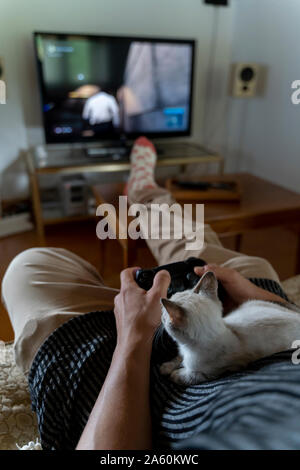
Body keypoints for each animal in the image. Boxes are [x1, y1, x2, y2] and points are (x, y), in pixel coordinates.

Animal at [159, 272, 300, 386]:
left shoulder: (220, 370)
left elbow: (188, 376)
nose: (161, 316)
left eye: (164, 315)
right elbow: (177, 358)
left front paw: (175, 375)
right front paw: (165, 367)